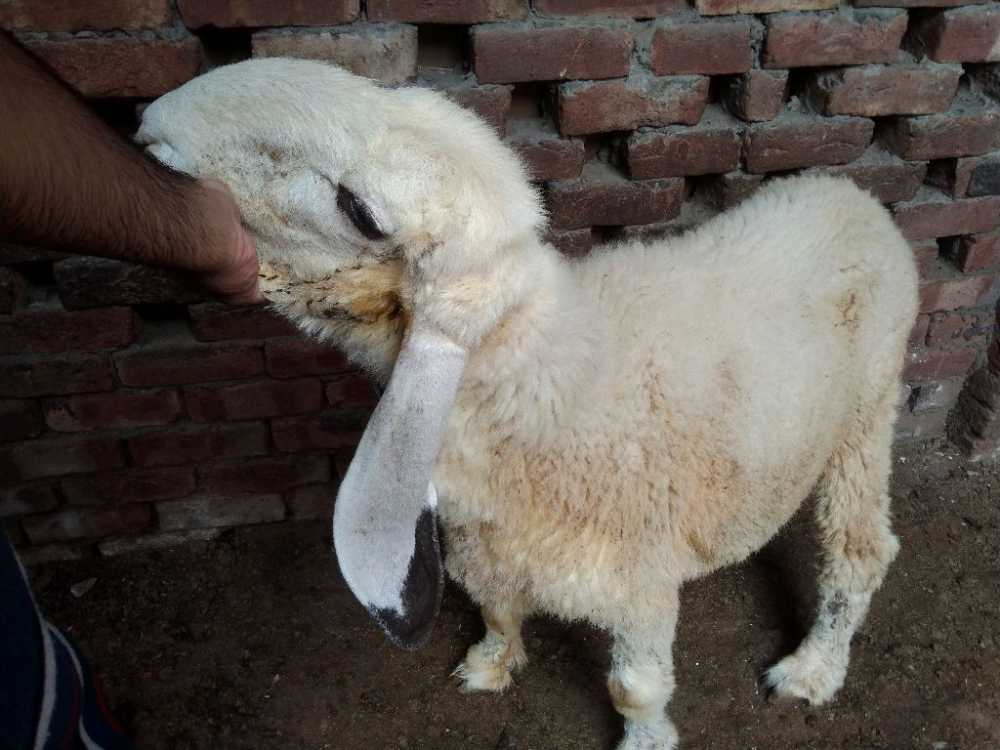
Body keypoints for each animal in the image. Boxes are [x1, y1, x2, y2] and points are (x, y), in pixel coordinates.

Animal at [137, 58, 919, 750]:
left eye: (359, 211)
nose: (148, 125)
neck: (550, 382)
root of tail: (851, 196)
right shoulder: (495, 543)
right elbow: (494, 605)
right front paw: (490, 664)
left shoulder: (642, 574)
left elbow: (635, 686)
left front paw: (646, 739)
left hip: (867, 411)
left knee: (860, 550)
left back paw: (813, 669)